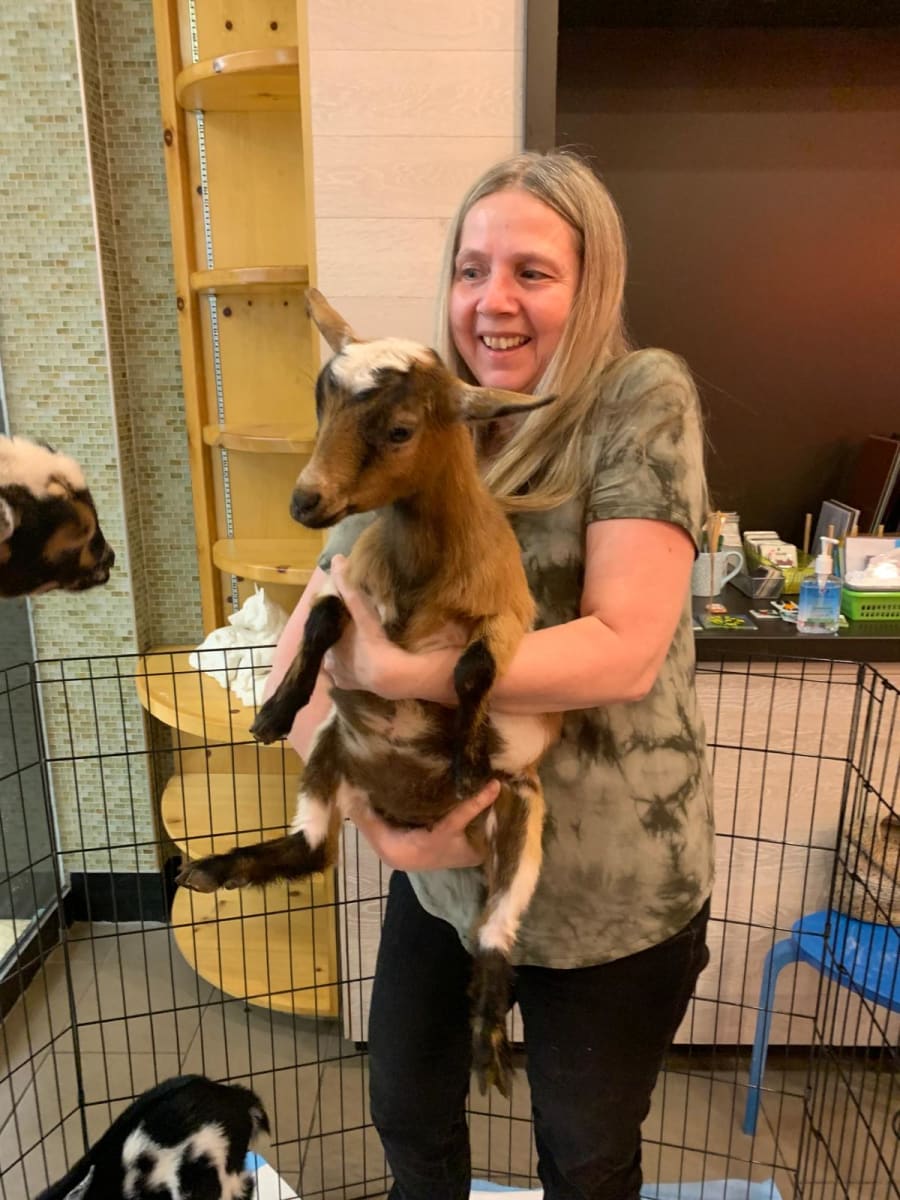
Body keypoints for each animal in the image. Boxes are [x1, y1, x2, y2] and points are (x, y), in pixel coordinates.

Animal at [177, 290, 560, 1094]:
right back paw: (210, 869)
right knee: (309, 851)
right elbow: (322, 615)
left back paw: (487, 1045)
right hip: (330, 759)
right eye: (321, 404)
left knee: (493, 937)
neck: (425, 571)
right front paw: (273, 708)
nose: (305, 500)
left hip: (522, 824)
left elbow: (472, 670)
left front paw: (466, 758)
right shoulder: (351, 588)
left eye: (400, 428)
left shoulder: (510, 621)